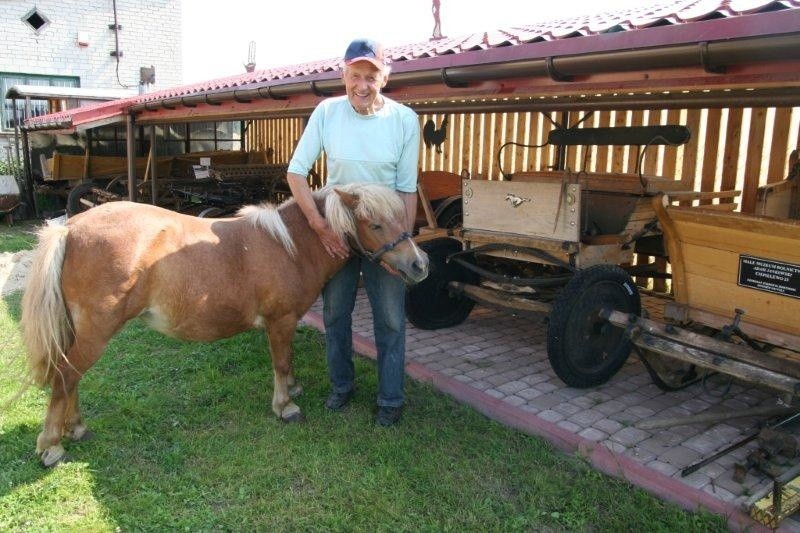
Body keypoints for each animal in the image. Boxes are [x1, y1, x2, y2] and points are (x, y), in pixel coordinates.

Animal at [20, 184, 432, 466]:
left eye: (402, 219)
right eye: (375, 224)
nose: (420, 265)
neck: (291, 246)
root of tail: (70, 229)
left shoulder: (286, 323)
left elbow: (288, 360)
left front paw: (293, 389)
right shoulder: (280, 321)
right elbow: (281, 362)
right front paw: (285, 406)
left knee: (70, 377)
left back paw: (74, 427)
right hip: (95, 331)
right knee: (65, 377)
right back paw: (52, 445)